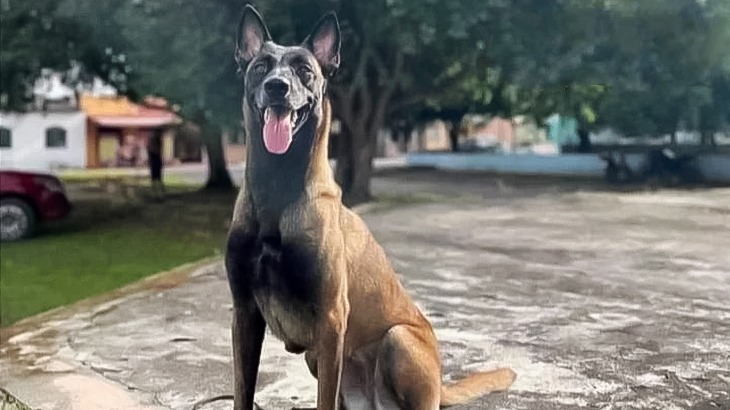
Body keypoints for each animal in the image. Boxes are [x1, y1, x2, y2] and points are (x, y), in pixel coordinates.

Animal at [225, 4, 516, 410]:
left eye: (304, 71)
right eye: (261, 67)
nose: (276, 86)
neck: (278, 189)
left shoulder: (331, 320)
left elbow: (324, 401)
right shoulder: (245, 315)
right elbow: (243, 391)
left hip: (397, 340)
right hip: (319, 356)